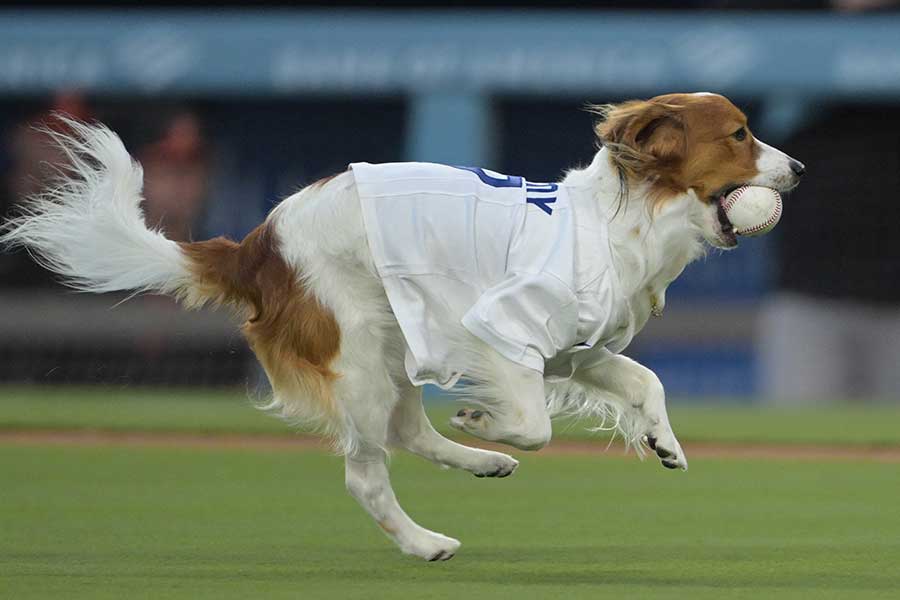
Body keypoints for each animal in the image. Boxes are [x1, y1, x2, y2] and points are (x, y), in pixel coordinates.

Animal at [0, 91, 800, 560]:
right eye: (739, 135)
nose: (795, 167)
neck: (617, 221)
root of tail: (256, 244)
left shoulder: (574, 349)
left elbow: (644, 380)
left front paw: (663, 441)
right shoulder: (499, 325)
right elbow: (534, 422)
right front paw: (484, 417)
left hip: (396, 341)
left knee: (407, 429)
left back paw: (480, 465)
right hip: (359, 355)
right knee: (368, 470)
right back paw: (423, 539)